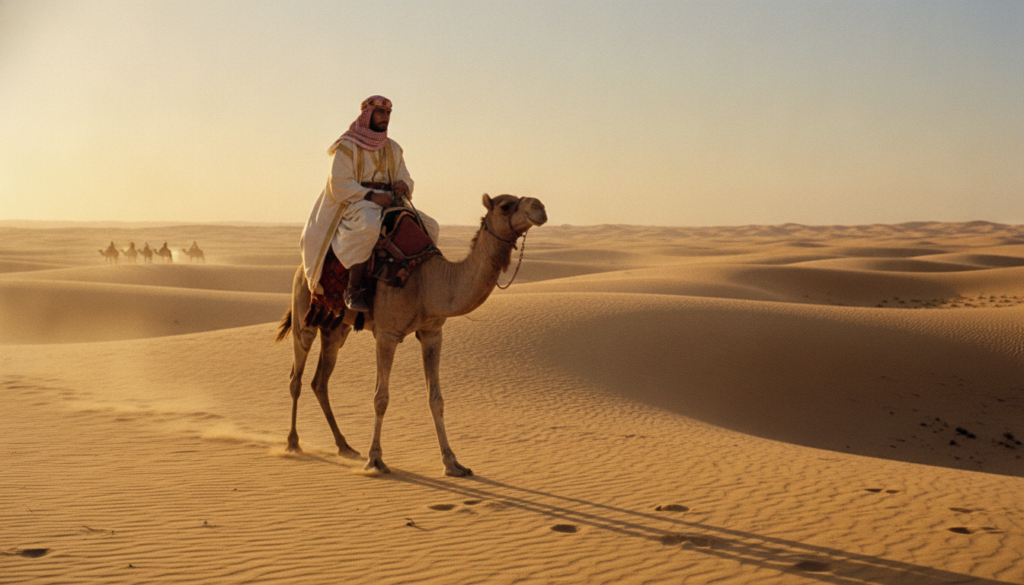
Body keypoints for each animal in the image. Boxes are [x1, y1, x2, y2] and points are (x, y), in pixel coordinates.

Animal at [276, 194, 547, 477]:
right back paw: (293, 443)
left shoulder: (432, 332)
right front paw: (375, 460)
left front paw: (452, 462)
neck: (427, 282)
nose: (539, 207)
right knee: (297, 375)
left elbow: (436, 399)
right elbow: (380, 398)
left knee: (320, 381)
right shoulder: (387, 334)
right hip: (304, 306)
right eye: (505, 206)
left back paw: (344, 446)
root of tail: (302, 267)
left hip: (336, 328)